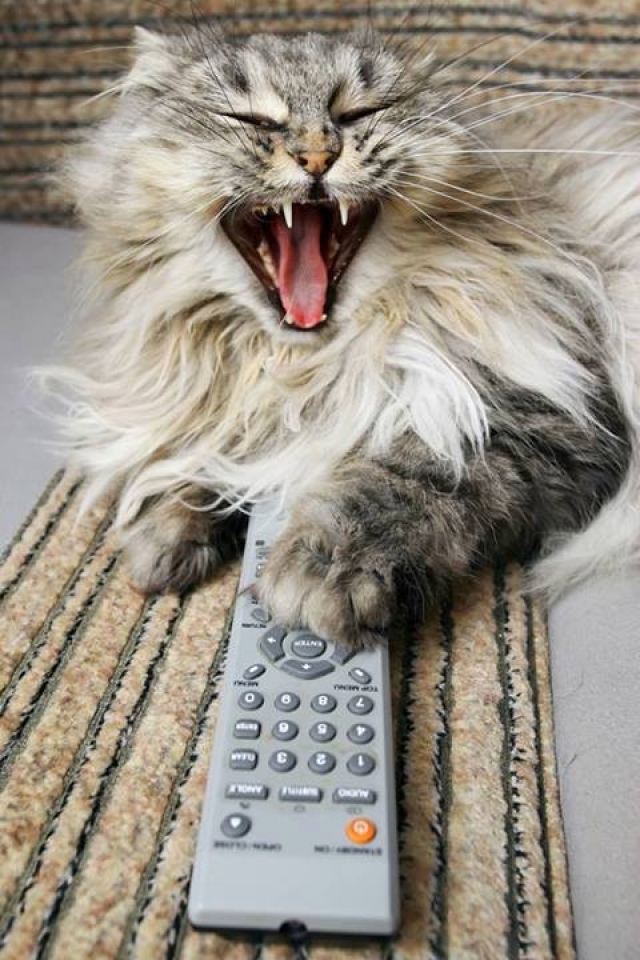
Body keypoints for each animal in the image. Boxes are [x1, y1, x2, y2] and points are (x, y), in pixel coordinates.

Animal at [47, 24, 640, 648]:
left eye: (358, 112)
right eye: (247, 118)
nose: (316, 155)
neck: (299, 372)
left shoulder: (548, 420)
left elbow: (410, 477)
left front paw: (324, 569)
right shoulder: (221, 405)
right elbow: (205, 450)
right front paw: (163, 535)